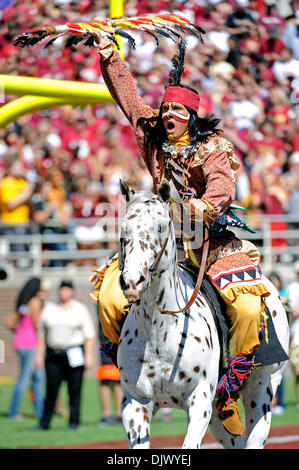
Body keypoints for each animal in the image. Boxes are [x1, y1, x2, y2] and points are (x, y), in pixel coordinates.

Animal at [116, 179, 290, 448]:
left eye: (160, 227)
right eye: (124, 230)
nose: (133, 282)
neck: (159, 332)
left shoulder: (200, 400)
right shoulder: (136, 403)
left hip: (262, 389)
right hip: (220, 415)